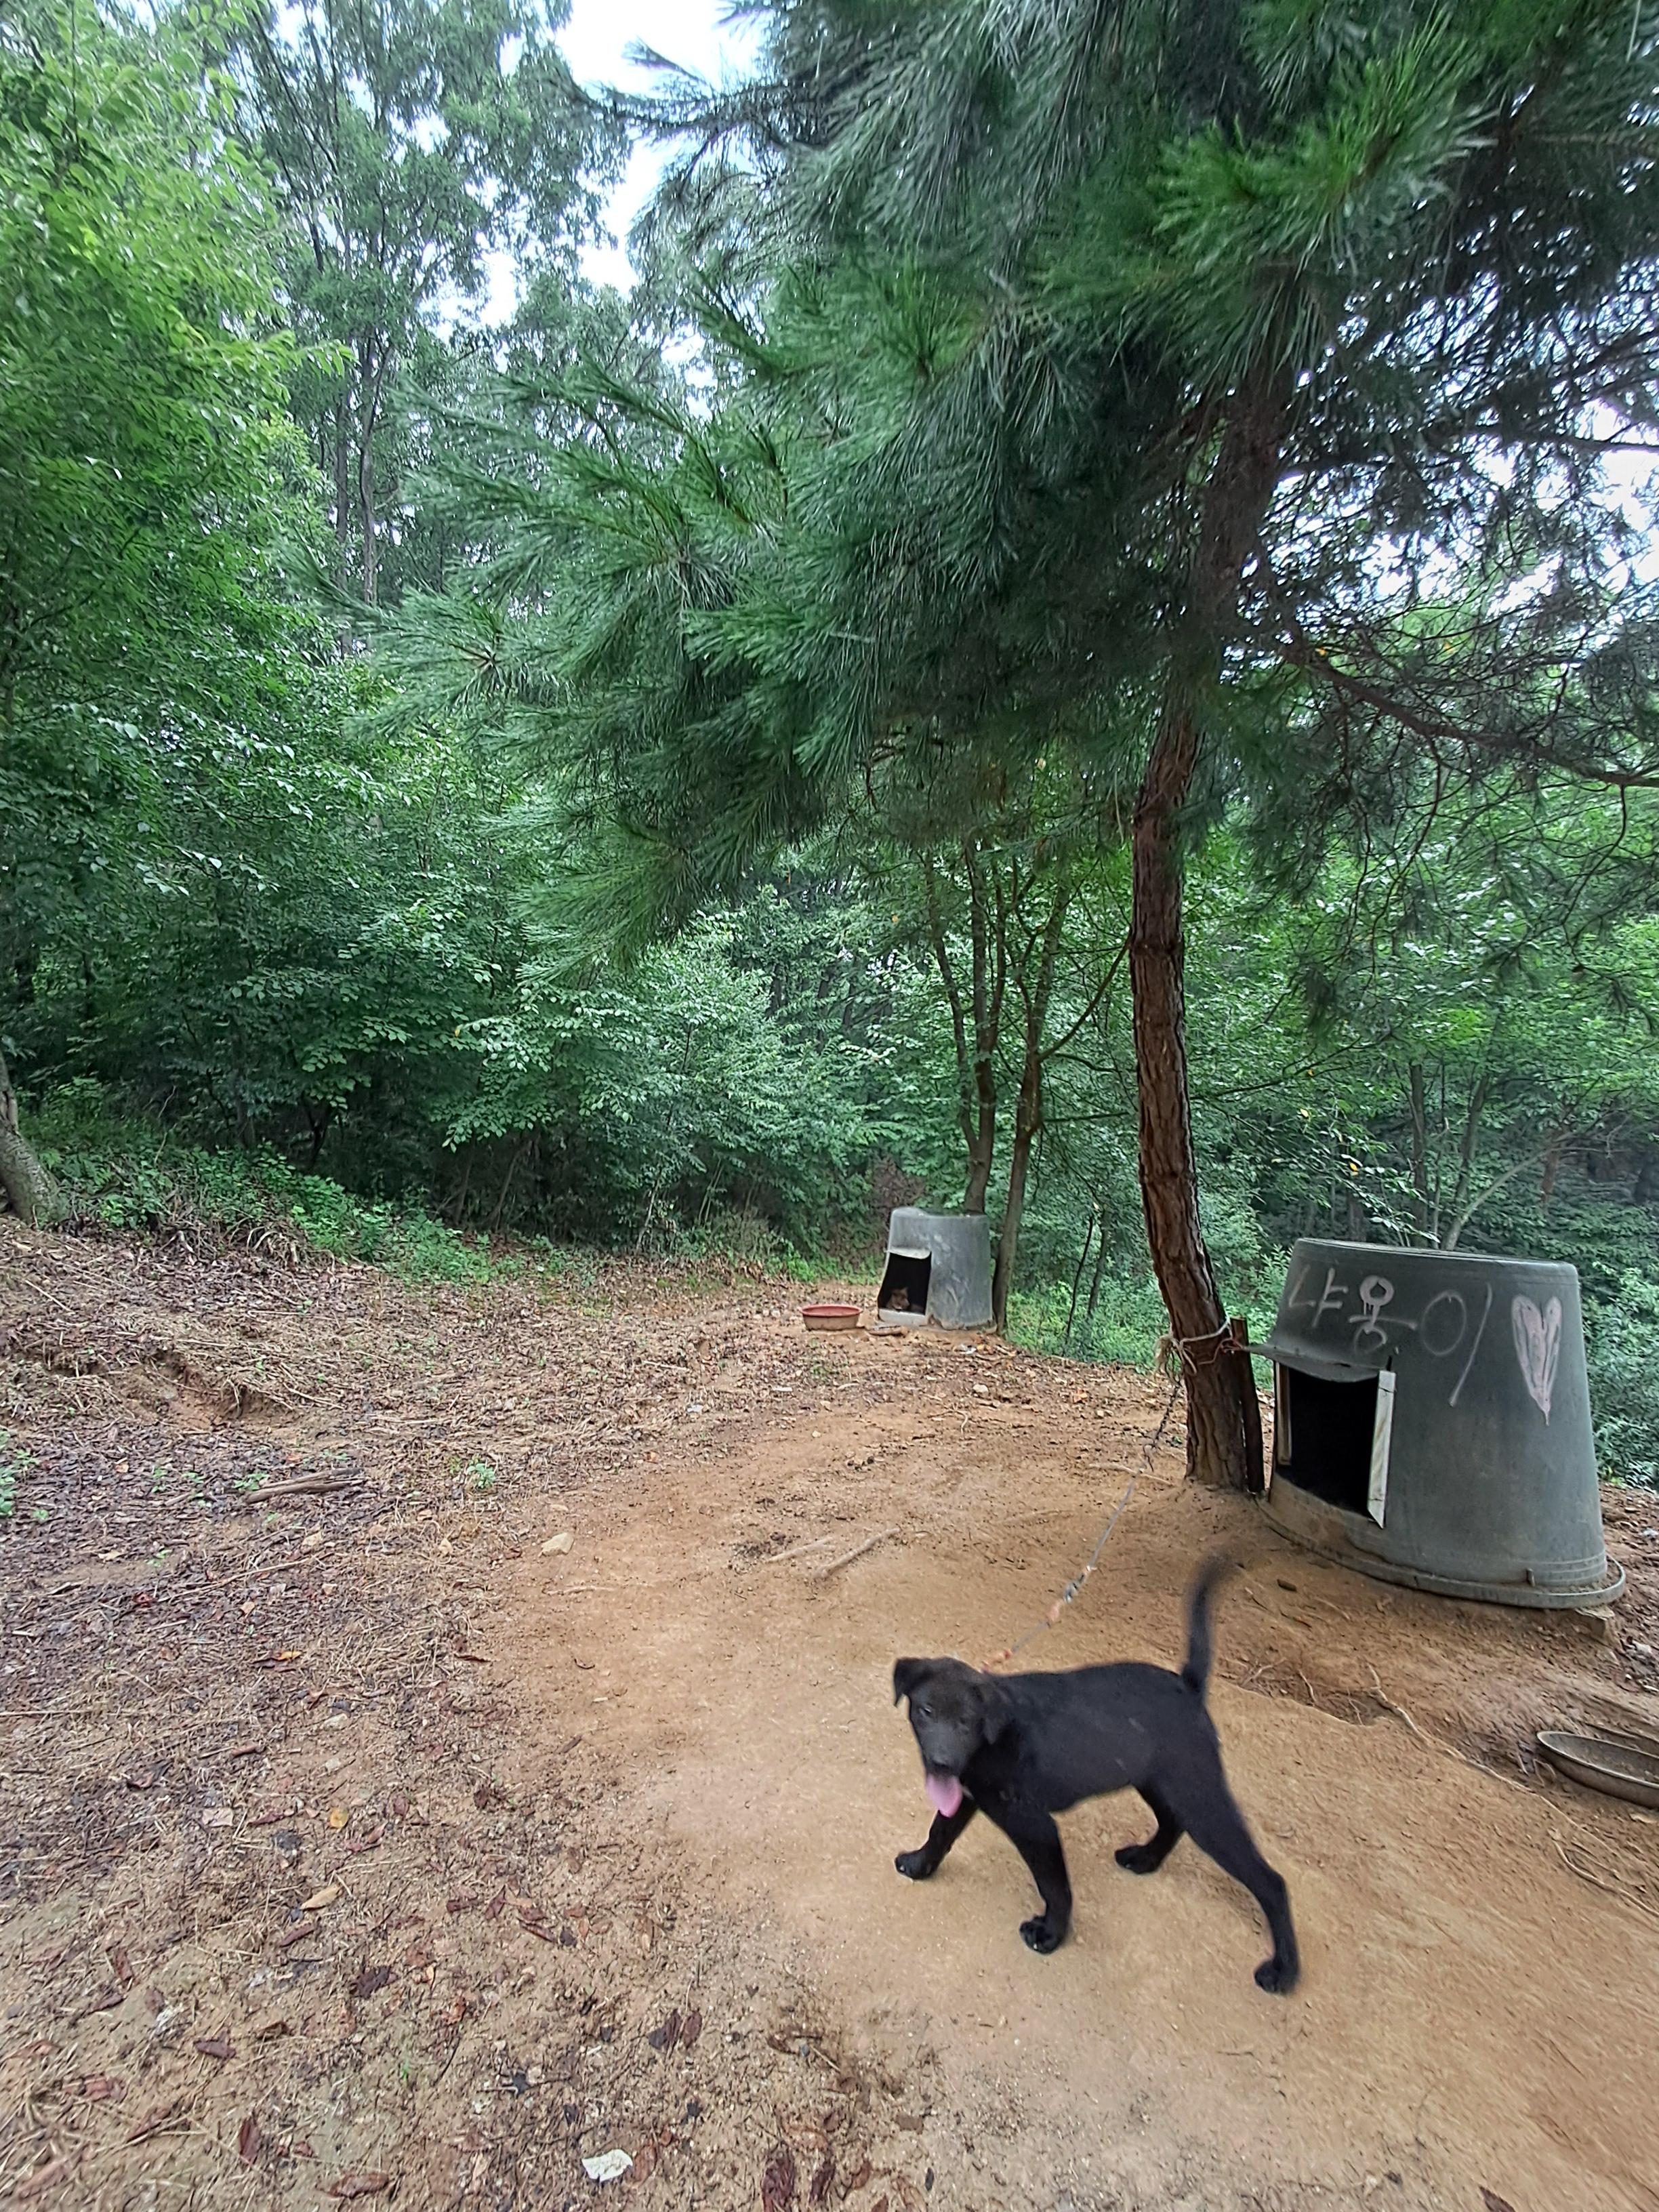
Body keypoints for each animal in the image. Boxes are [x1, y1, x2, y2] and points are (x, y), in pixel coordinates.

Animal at [891, 1553, 1299, 1991]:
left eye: (967, 1722)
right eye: (926, 1711)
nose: (942, 1762)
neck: (991, 1739)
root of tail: (1189, 1688)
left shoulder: (1035, 1825)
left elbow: (1055, 1886)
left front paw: (1051, 1934)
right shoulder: (967, 1795)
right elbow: (940, 1831)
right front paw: (919, 1865)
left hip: (1201, 1799)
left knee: (1271, 1882)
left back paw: (1284, 1971)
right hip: (1159, 1781)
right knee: (1172, 1822)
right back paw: (1146, 1859)